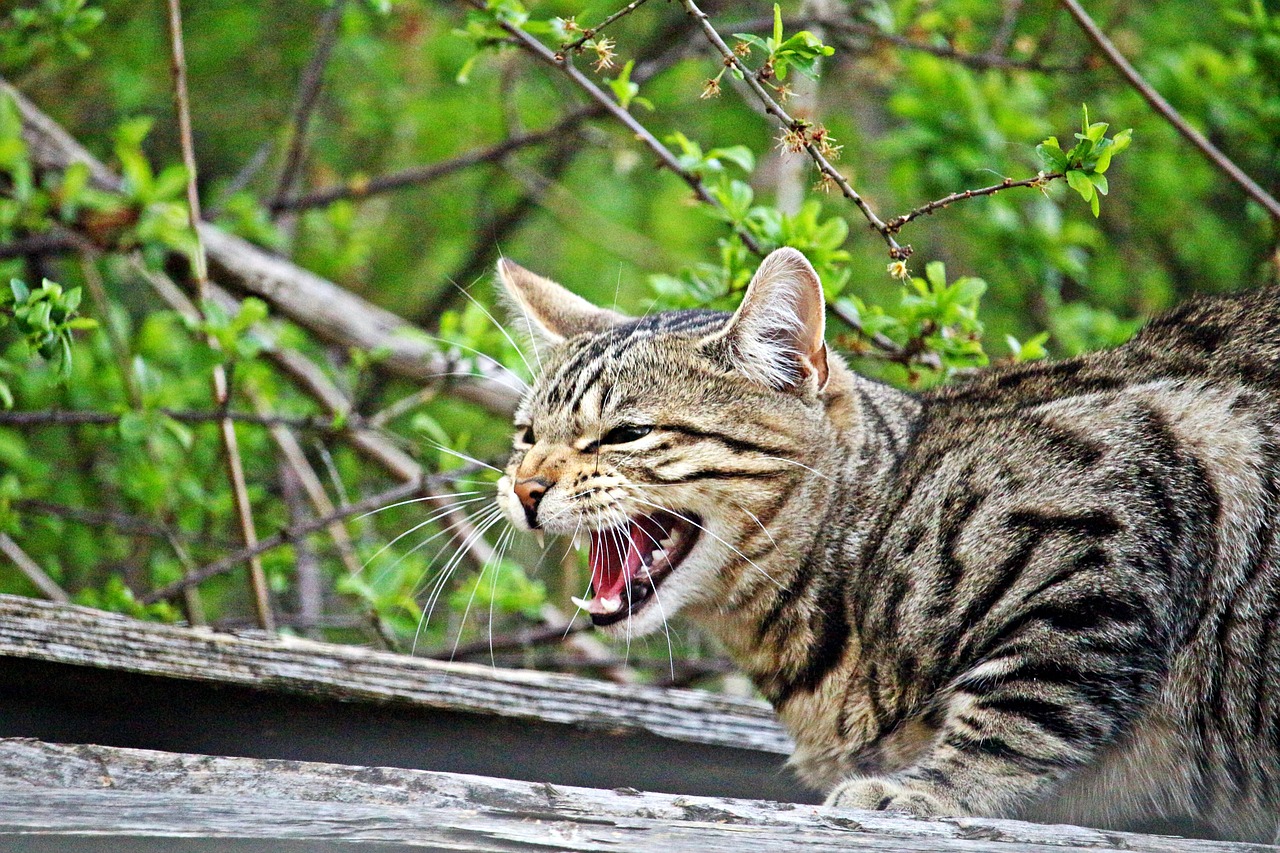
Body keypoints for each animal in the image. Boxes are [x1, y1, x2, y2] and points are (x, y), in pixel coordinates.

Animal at [488, 245, 1280, 835]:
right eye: (526, 436)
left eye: (626, 433)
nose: (525, 488)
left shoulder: (1126, 495)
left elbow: (1027, 702)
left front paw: (927, 787)